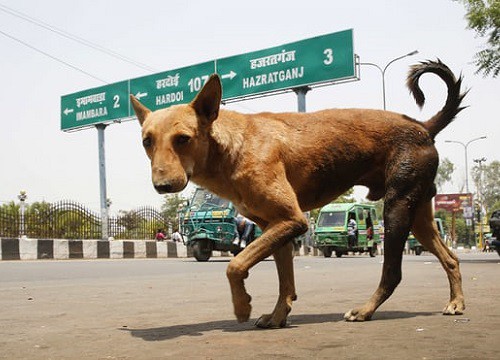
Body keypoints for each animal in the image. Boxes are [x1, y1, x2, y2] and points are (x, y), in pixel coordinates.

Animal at [131, 60, 466, 328]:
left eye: (183, 139)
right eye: (147, 141)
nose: (162, 186)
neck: (231, 148)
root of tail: (423, 126)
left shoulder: (292, 221)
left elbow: (235, 265)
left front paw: (242, 307)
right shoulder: (276, 226)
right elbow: (284, 283)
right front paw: (278, 316)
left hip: (397, 209)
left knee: (393, 272)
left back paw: (365, 310)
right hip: (417, 214)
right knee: (450, 258)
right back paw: (456, 303)